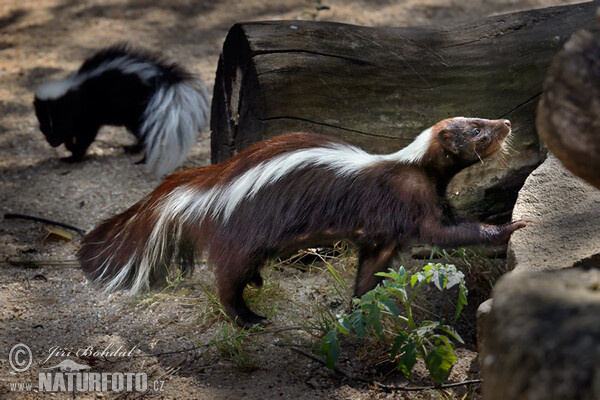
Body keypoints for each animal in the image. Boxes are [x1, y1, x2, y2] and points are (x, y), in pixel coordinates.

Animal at [35, 43, 210, 175]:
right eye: (44, 126)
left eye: (60, 122)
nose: (53, 143)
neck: (77, 90)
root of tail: (159, 76)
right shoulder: (78, 117)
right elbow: (74, 133)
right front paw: (70, 149)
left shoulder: (88, 115)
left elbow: (86, 135)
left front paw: (74, 155)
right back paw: (133, 149)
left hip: (140, 108)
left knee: (146, 133)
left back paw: (142, 158)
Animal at [77, 116, 528, 328]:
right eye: (477, 129)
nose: (506, 123)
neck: (417, 164)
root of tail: (212, 185)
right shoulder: (407, 198)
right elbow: (447, 232)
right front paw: (510, 227)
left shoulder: (386, 229)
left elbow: (372, 269)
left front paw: (356, 310)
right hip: (244, 227)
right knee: (228, 277)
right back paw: (246, 317)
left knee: (242, 271)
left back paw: (258, 283)